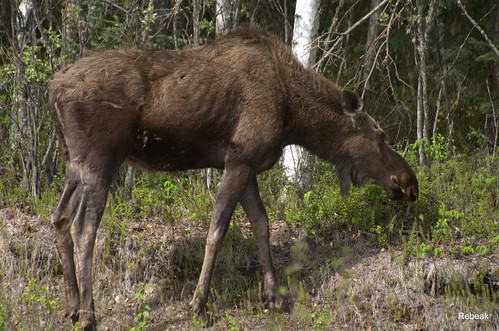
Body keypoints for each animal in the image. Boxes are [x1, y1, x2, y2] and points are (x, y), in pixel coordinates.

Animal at [49, 29, 418, 330]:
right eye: (381, 135)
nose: (410, 182)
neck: (293, 117)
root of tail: (54, 89)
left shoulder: (248, 164)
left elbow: (261, 224)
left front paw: (273, 297)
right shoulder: (239, 159)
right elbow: (217, 230)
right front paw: (198, 305)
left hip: (74, 163)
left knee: (60, 217)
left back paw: (72, 307)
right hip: (101, 159)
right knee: (84, 227)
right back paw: (89, 315)